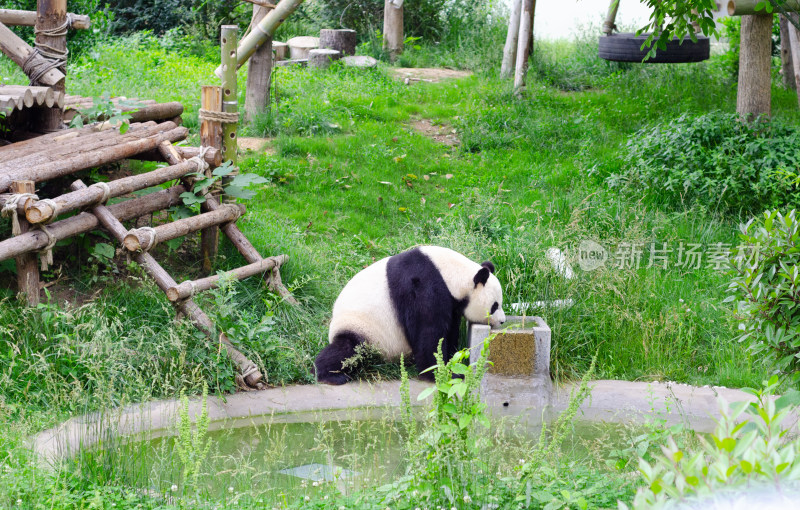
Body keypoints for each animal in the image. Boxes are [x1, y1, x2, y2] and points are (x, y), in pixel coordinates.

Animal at [314, 245, 506, 384]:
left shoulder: (450, 301)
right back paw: (331, 375)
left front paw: (453, 361)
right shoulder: (423, 288)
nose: (503, 321)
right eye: (495, 306)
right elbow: (429, 333)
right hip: (360, 326)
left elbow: (450, 329)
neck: (451, 274)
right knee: (348, 349)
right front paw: (442, 373)